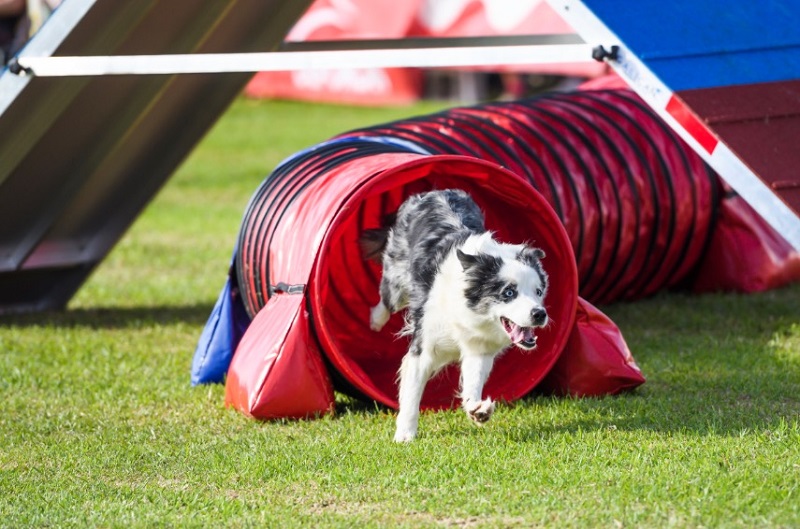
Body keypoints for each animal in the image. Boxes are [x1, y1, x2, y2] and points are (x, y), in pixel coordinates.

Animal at [366, 190, 548, 442]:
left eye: (538, 291)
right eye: (509, 293)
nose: (539, 314)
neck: (467, 311)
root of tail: (433, 192)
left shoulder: (479, 346)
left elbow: (473, 380)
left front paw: (477, 409)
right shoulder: (422, 349)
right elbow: (411, 394)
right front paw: (404, 435)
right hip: (396, 278)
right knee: (386, 297)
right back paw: (375, 320)